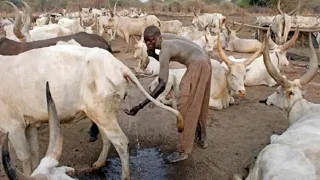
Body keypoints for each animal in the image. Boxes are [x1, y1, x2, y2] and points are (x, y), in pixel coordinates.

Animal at [0, 44, 182, 179]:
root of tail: (118, 65)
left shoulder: (13, 126)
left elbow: (24, 156)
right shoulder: (28, 122)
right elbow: (34, 152)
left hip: (102, 113)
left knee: (121, 142)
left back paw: (124, 176)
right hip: (101, 113)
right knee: (108, 139)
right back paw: (99, 163)